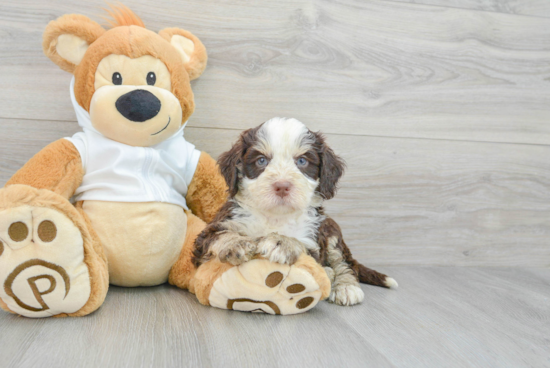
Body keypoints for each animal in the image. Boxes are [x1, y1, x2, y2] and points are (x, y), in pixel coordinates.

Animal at [194, 117, 396, 304]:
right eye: (261, 161)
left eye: (302, 161)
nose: (282, 186)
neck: (275, 216)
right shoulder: (215, 229)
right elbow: (218, 235)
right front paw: (236, 243)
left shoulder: (313, 240)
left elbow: (303, 246)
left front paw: (282, 243)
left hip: (331, 230)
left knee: (344, 262)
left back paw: (346, 287)